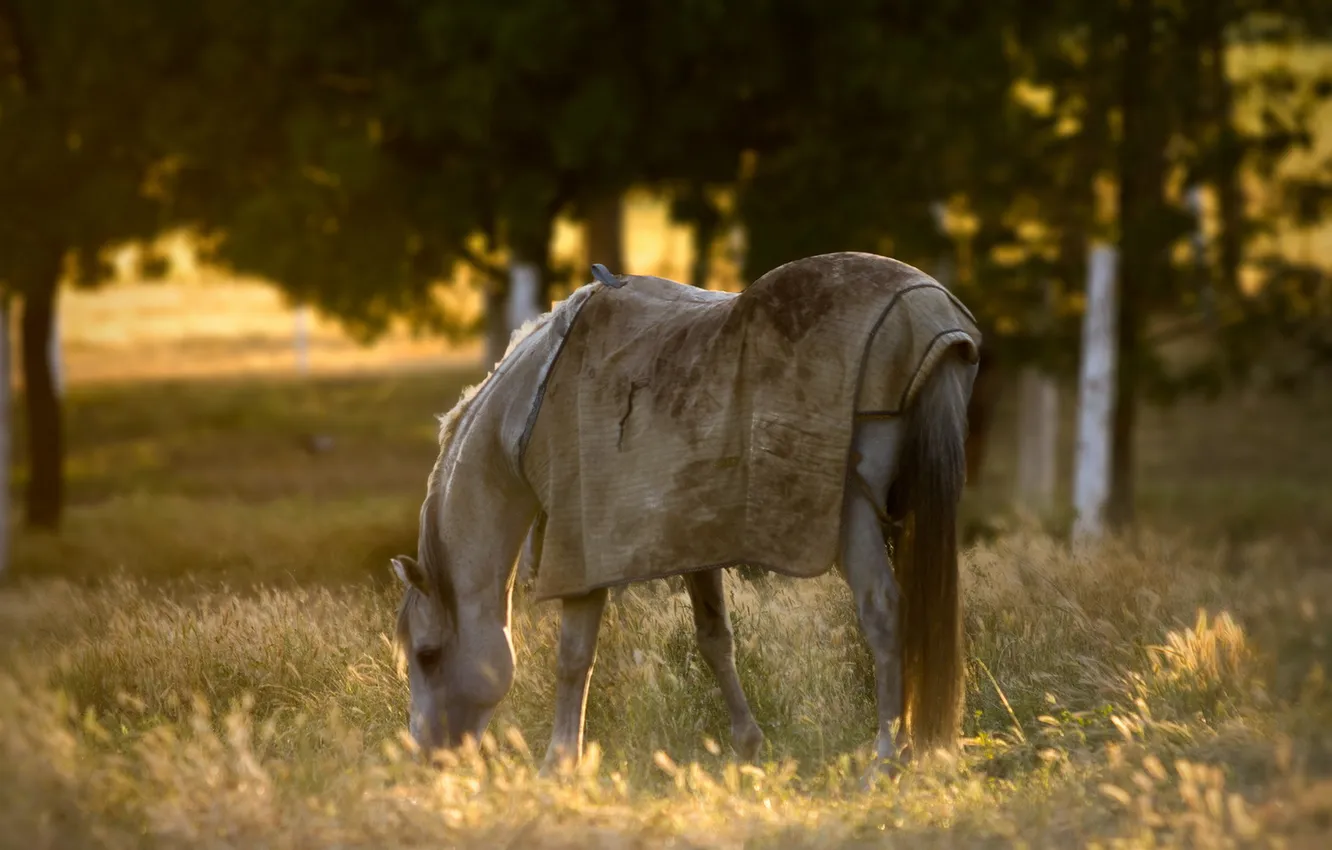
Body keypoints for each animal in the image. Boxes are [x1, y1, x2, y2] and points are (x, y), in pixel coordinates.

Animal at [390, 252, 980, 780]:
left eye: (427, 654)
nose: (429, 758)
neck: (529, 407)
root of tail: (928, 314)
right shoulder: (696, 536)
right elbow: (715, 640)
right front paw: (748, 747)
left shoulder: (580, 553)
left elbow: (573, 658)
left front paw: (558, 766)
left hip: (854, 511)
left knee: (884, 614)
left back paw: (884, 761)